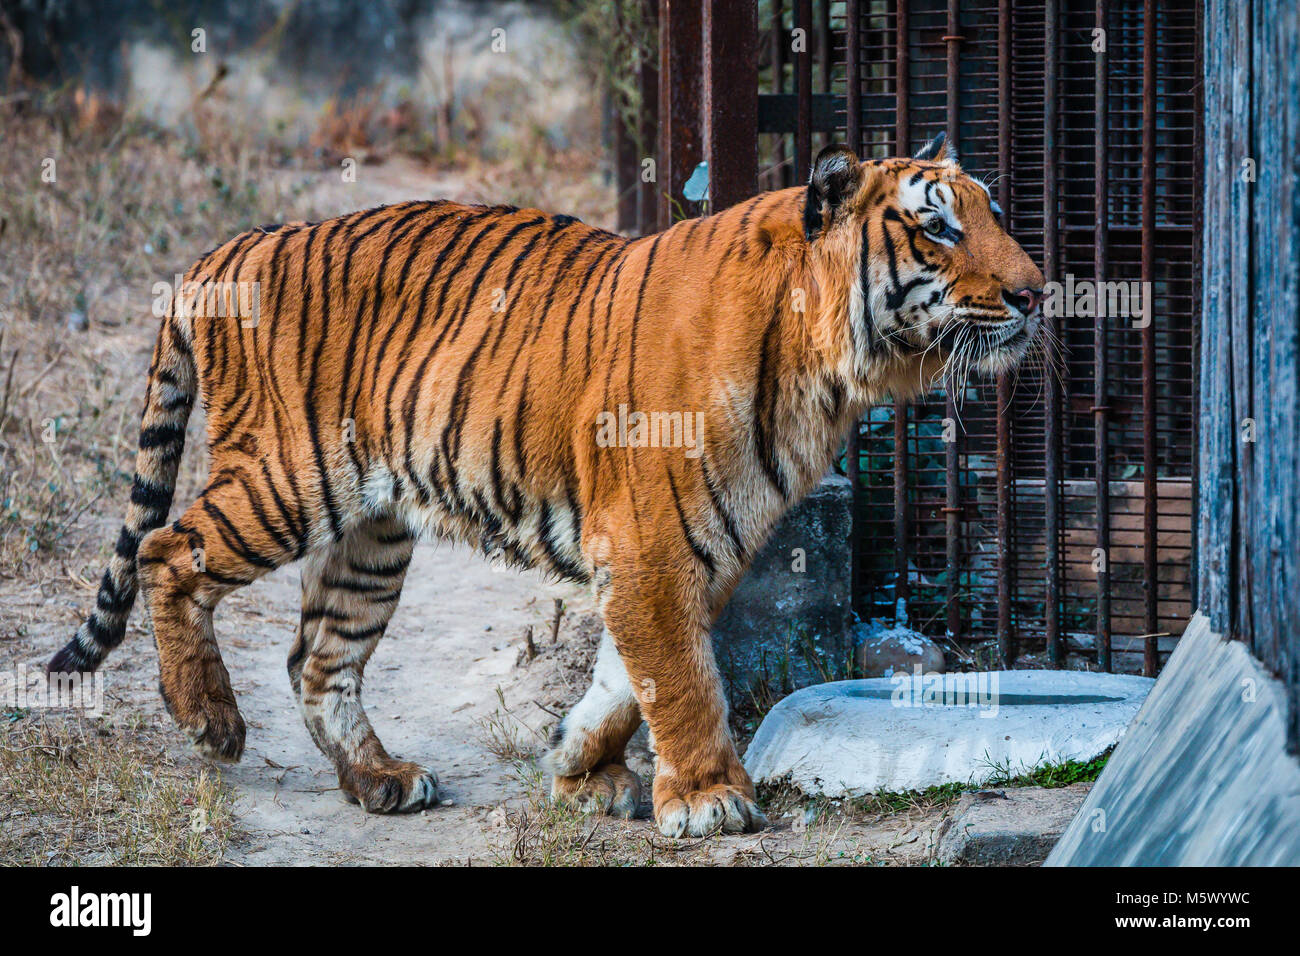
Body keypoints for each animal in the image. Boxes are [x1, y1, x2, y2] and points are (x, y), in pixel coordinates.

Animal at [48, 134, 1045, 837]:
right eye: (938, 226)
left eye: (993, 213)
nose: (1038, 292)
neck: (831, 372)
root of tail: (234, 244)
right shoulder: (649, 542)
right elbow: (684, 678)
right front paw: (709, 799)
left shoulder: (694, 547)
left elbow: (630, 675)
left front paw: (576, 763)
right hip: (289, 477)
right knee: (166, 550)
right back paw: (210, 719)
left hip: (371, 532)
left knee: (317, 658)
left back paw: (380, 780)